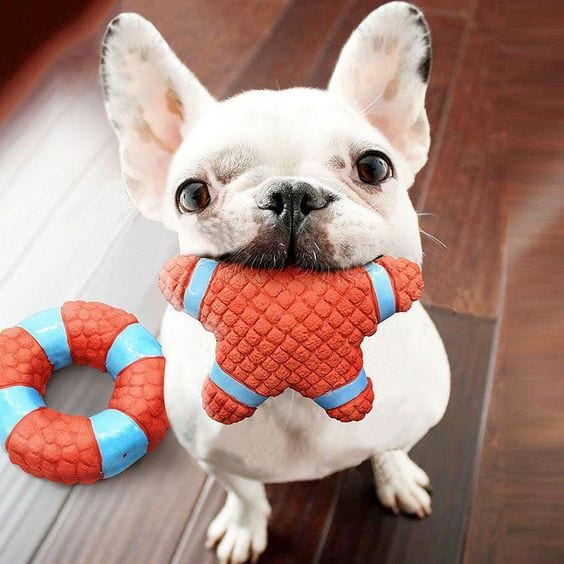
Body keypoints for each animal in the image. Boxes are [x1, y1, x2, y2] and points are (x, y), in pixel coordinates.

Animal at [100, 2, 450, 560]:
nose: (290, 194)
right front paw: (245, 527)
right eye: (192, 194)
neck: (296, 381)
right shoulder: (215, 459)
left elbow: (393, 447)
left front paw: (395, 477)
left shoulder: (417, 415)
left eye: (374, 167)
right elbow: (245, 494)